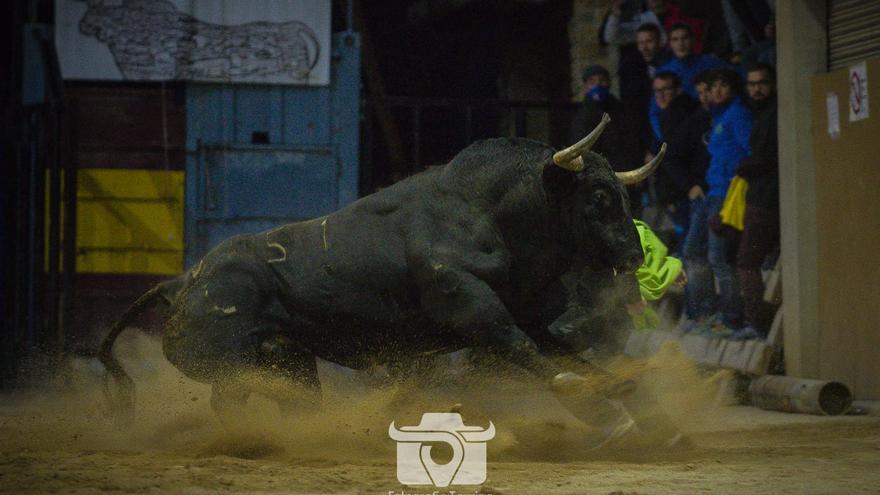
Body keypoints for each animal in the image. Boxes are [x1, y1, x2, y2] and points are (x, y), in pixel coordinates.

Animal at [101, 133, 668, 434]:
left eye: (623, 195)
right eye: (597, 197)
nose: (634, 256)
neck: (486, 214)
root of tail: (181, 284)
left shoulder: (523, 316)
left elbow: (562, 353)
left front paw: (627, 396)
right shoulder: (475, 310)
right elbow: (532, 356)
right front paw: (602, 412)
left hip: (288, 360)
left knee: (283, 400)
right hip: (228, 364)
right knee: (237, 399)